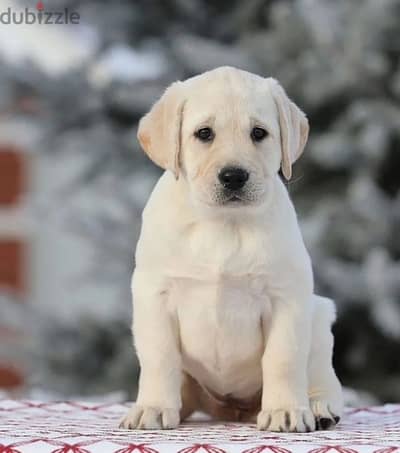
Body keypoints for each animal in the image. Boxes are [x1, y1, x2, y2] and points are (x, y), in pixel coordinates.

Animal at [120, 66, 342, 430]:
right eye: (204, 133)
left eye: (259, 133)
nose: (234, 176)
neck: (224, 224)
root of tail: (231, 409)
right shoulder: (155, 293)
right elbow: (160, 355)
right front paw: (152, 407)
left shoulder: (286, 296)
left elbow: (283, 357)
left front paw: (285, 411)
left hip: (321, 314)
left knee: (323, 378)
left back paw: (319, 408)